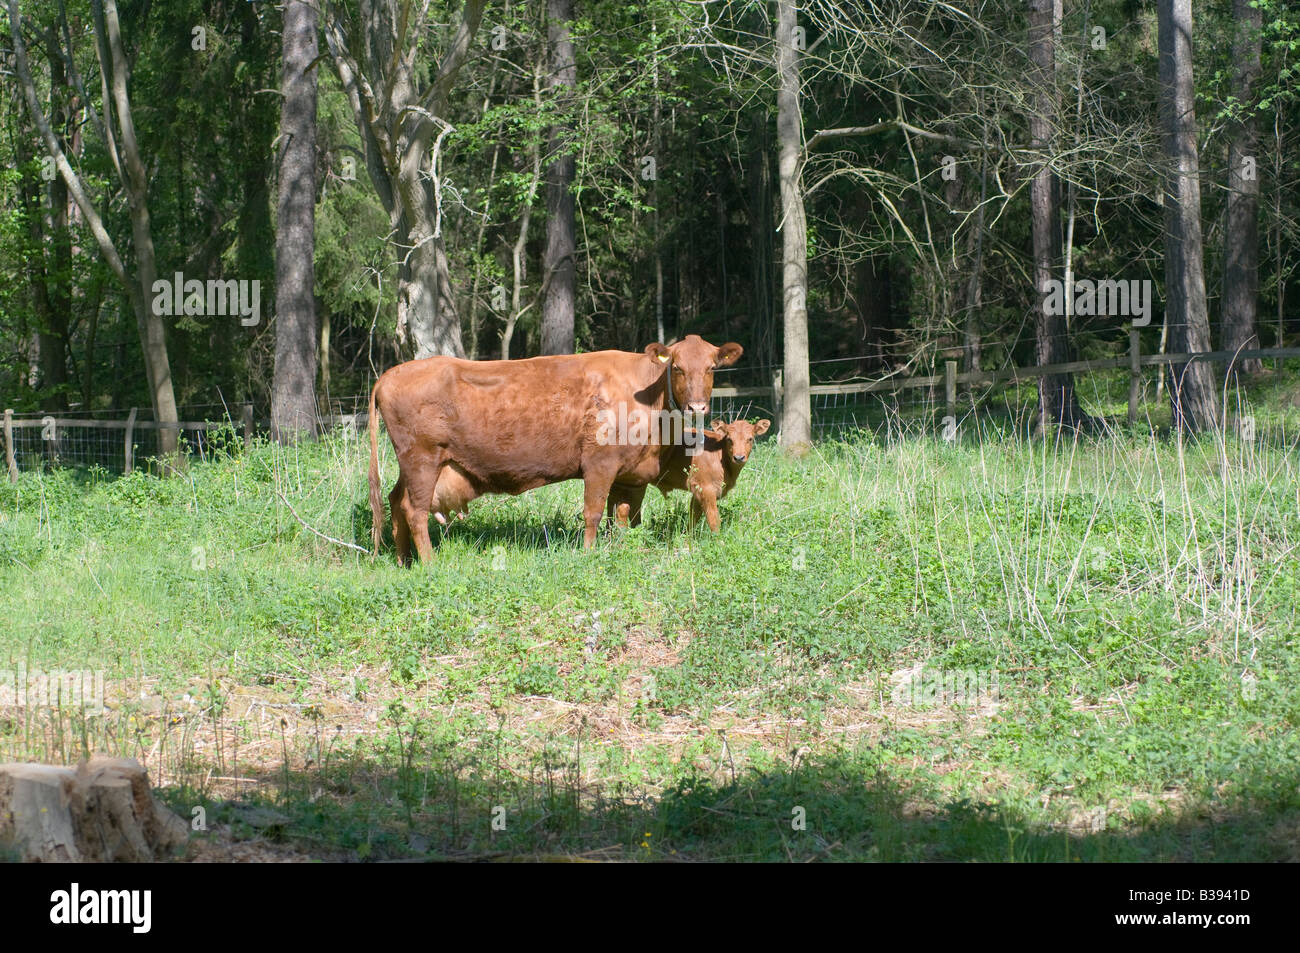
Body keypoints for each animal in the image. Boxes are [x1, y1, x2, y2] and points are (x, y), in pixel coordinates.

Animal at [367, 334, 743, 564]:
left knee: (395, 502)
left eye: (712, 367)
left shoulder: (629, 477)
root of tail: (389, 374)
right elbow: (593, 513)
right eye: (676, 367)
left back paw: (404, 560)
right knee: (415, 511)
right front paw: (589, 554)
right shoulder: (599, 464)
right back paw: (430, 563)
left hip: (413, 466)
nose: (697, 407)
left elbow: (621, 518)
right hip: (422, 459)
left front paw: (619, 550)